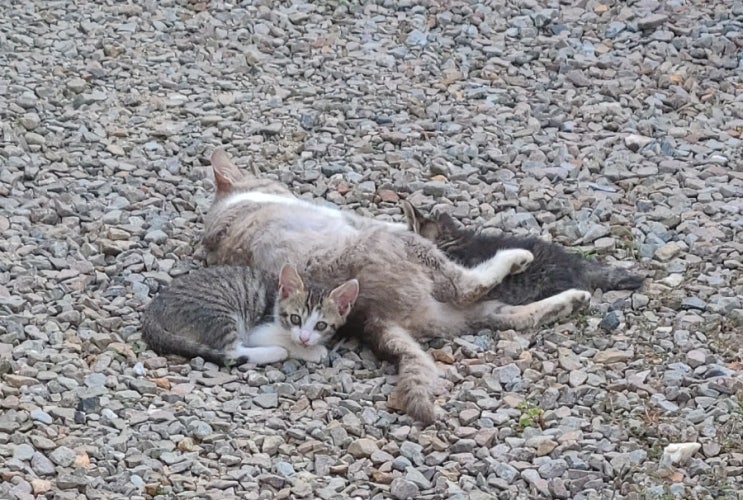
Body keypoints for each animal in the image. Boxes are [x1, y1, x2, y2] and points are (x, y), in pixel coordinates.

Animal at [141, 263, 360, 366]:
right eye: (295, 318)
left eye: (321, 325)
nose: (305, 338)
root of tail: (153, 309)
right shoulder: (258, 330)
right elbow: (287, 341)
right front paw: (312, 351)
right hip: (217, 311)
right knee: (232, 352)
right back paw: (276, 352)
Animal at [201, 149, 592, 425]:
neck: (229, 210)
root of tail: (372, 315)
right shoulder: (364, 223)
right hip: (414, 254)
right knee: (467, 287)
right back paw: (516, 258)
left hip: (459, 312)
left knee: (510, 317)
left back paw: (571, 300)